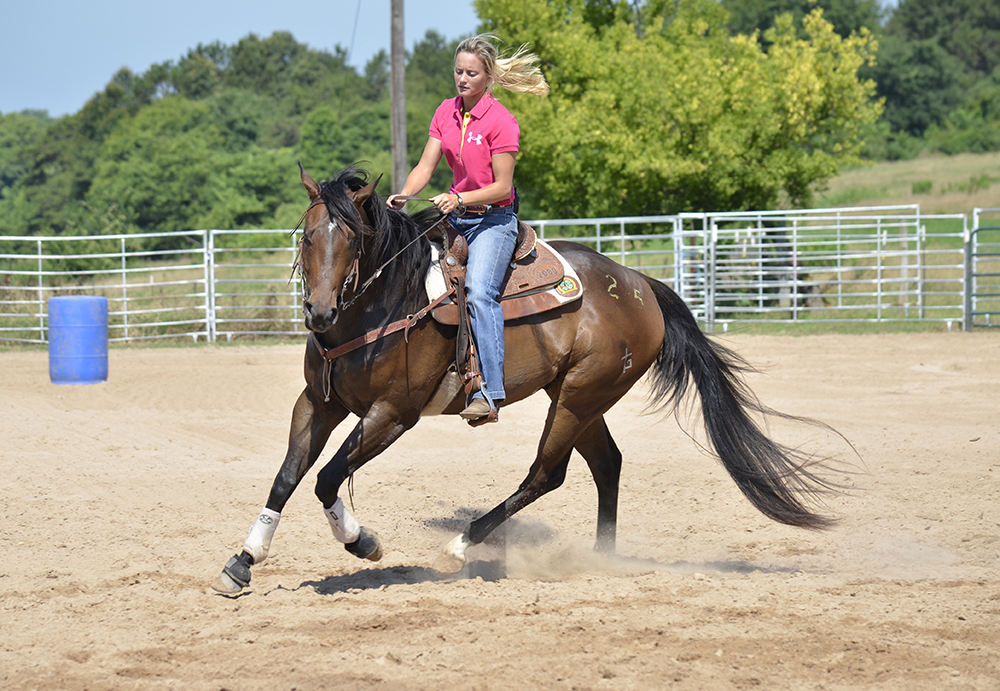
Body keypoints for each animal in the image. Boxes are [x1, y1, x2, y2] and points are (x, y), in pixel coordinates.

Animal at [212, 165, 840, 594]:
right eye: (307, 237)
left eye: (351, 239)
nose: (319, 314)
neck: (389, 302)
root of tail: (638, 282)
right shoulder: (317, 403)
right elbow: (287, 476)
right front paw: (242, 562)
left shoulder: (392, 414)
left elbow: (326, 478)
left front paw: (362, 542)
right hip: (579, 397)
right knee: (606, 464)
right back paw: (600, 558)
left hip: (578, 397)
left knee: (546, 473)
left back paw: (459, 546)